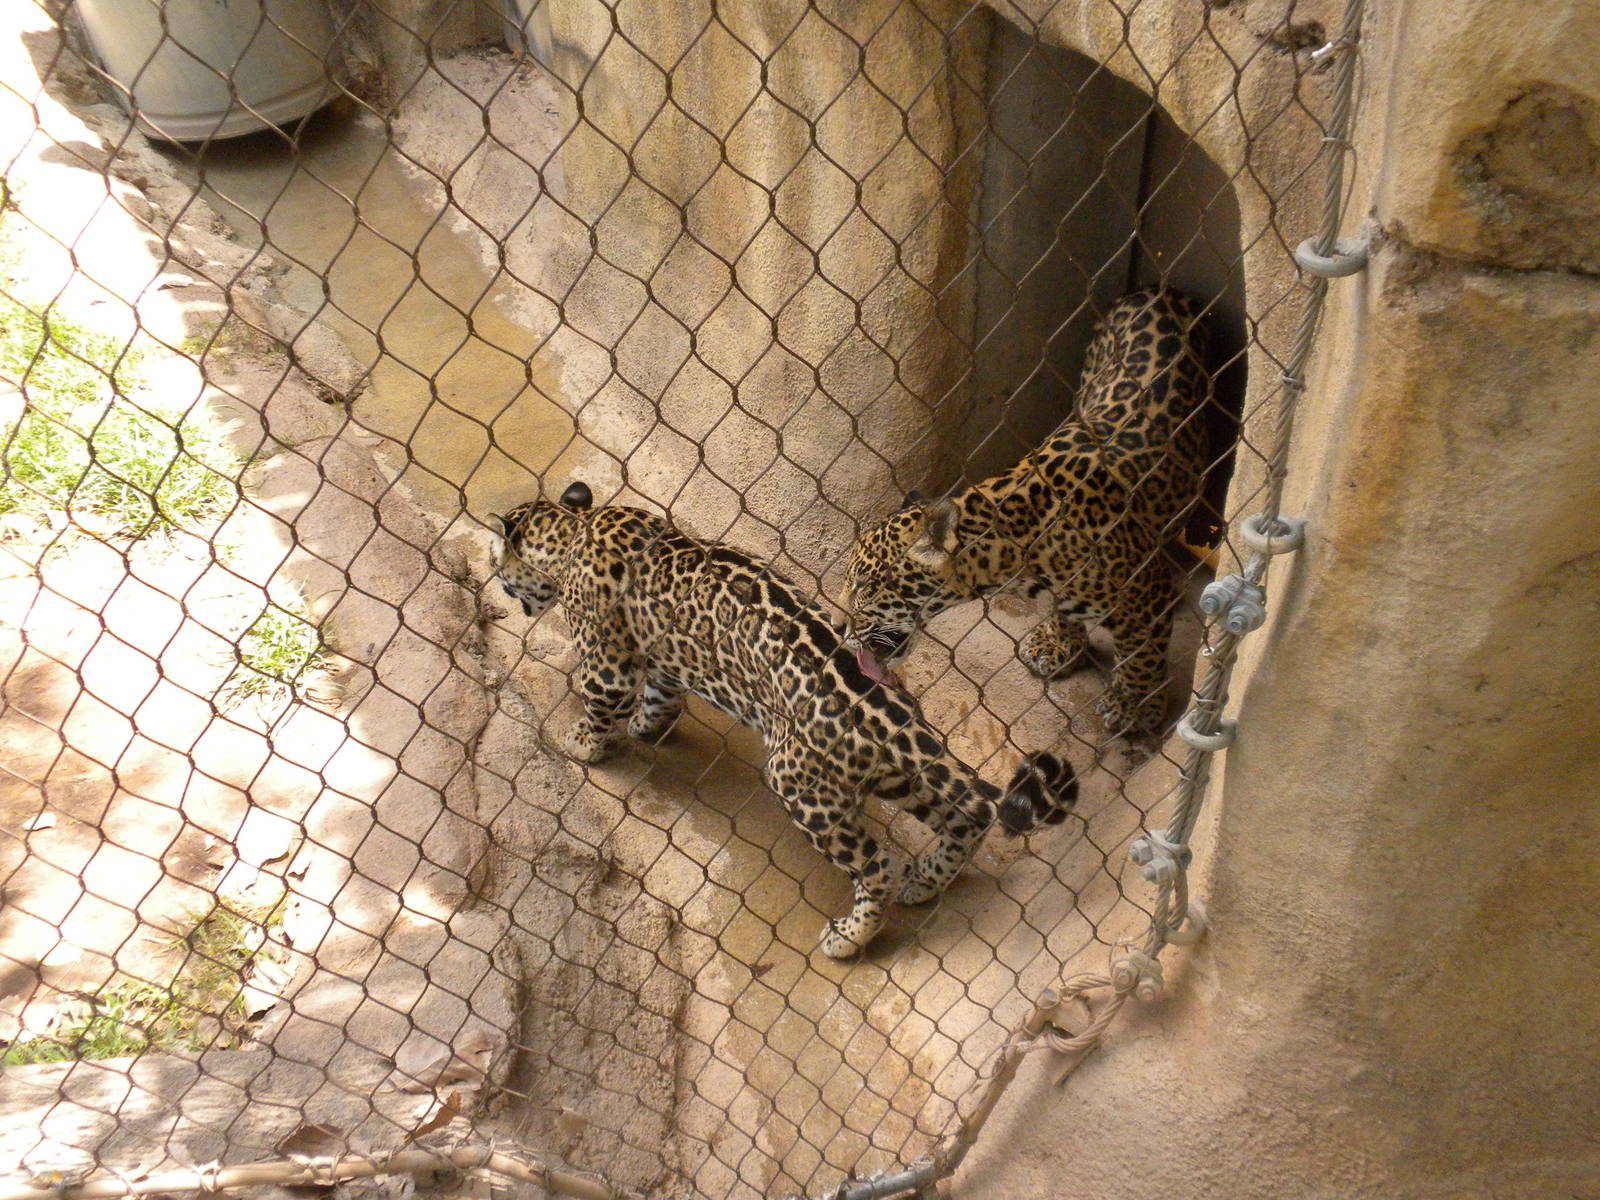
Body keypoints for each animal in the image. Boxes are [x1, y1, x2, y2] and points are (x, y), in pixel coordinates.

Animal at [491, 481, 1078, 959]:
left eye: (501, 573)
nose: (504, 591)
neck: (574, 528)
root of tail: (894, 716)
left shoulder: (607, 660)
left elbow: (601, 699)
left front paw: (583, 744)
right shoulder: (665, 659)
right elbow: (662, 696)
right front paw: (643, 728)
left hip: (803, 785)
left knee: (877, 866)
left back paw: (849, 936)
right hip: (894, 775)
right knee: (966, 816)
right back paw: (926, 883)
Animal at [843, 287, 1212, 737]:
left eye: (865, 588)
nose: (842, 630)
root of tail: (1158, 291)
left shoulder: (1142, 593)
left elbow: (1141, 650)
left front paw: (1133, 704)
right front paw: (1059, 642)